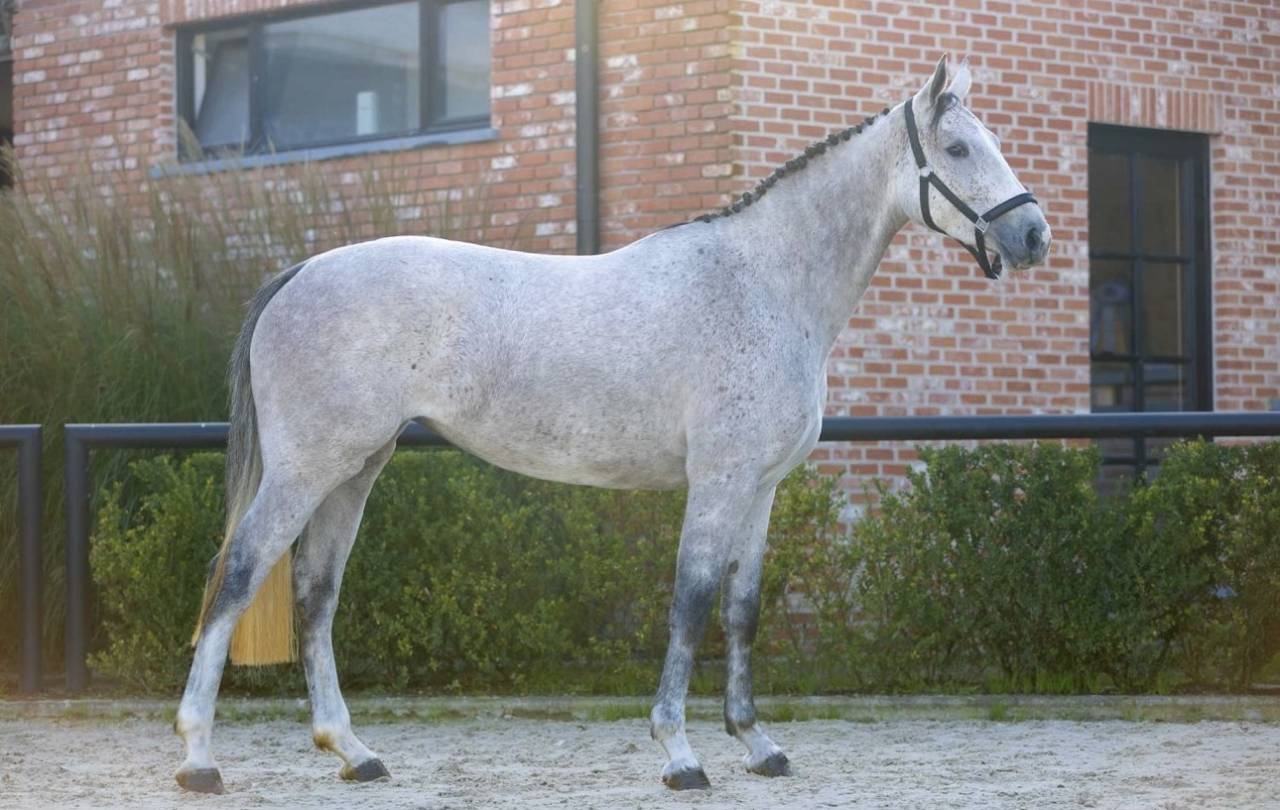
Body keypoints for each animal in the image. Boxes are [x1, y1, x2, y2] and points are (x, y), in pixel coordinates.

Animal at [174, 55, 1051, 794]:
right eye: (960, 148)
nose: (1033, 234)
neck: (764, 282)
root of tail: (299, 274)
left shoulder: (761, 488)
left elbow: (742, 609)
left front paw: (758, 745)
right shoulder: (718, 481)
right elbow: (691, 601)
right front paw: (680, 754)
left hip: (354, 470)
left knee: (316, 594)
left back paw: (353, 753)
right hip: (307, 470)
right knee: (239, 574)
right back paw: (198, 759)